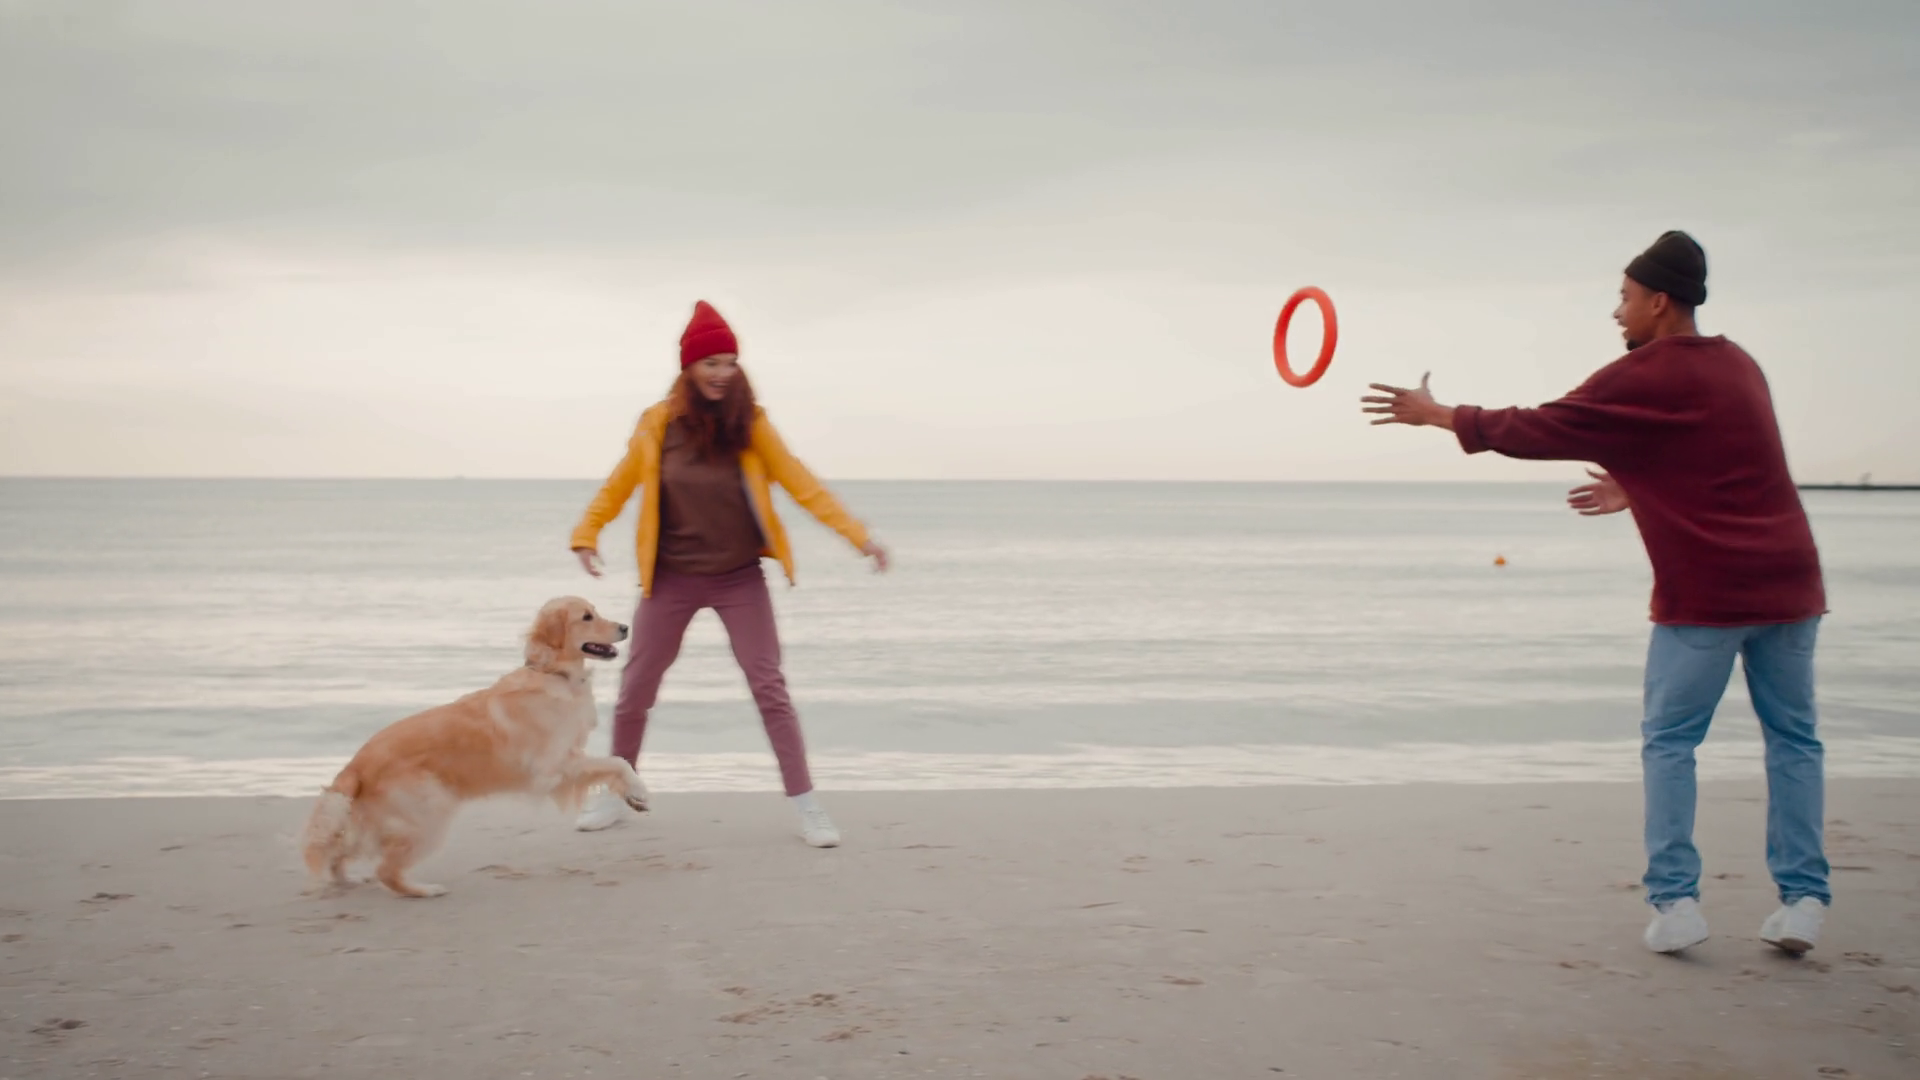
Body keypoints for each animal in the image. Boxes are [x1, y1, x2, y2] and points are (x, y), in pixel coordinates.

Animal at [300, 596, 649, 898]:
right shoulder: (552, 767)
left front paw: (632, 796)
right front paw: (639, 791)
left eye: (595, 612)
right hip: (429, 816)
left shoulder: (568, 759)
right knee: (385, 870)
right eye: (587, 617)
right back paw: (424, 890)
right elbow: (617, 761)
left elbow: (614, 763)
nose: (625, 628)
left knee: (342, 849)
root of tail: (356, 764)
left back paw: (345, 880)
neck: (553, 673)